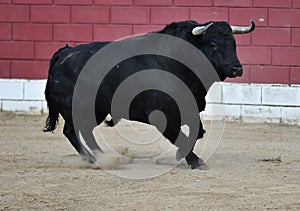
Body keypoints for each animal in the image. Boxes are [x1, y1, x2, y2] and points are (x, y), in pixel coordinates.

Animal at [44, 20, 255, 169]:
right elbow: (180, 135)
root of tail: (65, 53)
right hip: (76, 107)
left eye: (233, 43)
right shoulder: (161, 116)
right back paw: (93, 159)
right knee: (71, 131)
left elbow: (197, 132)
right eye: (212, 44)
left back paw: (102, 156)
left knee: (85, 131)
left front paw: (182, 156)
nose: (237, 69)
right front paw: (195, 161)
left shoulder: (190, 109)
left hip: (96, 110)